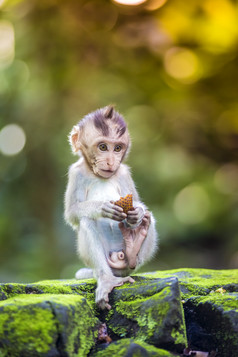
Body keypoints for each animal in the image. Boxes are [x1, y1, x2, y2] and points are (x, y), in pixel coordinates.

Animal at [64, 105, 158, 308]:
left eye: (117, 148)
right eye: (102, 147)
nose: (110, 161)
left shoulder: (123, 172)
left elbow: (137, 201)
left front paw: (137, 212)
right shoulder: (75, 173)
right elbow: (72, 213)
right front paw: (102, 207)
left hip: (134, 262)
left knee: (150, 219)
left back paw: (133, 247)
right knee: (86, 220)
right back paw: (106, 279)